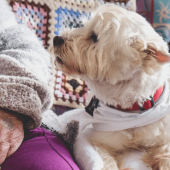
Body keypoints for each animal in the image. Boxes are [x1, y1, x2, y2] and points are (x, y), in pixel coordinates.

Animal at [52, 3, 170, 170]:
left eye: (94, 36)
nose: (56, 39)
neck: (133, 109)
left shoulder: (164, 137)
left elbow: (166, 154)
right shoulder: (98, 142)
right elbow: (106, 162)